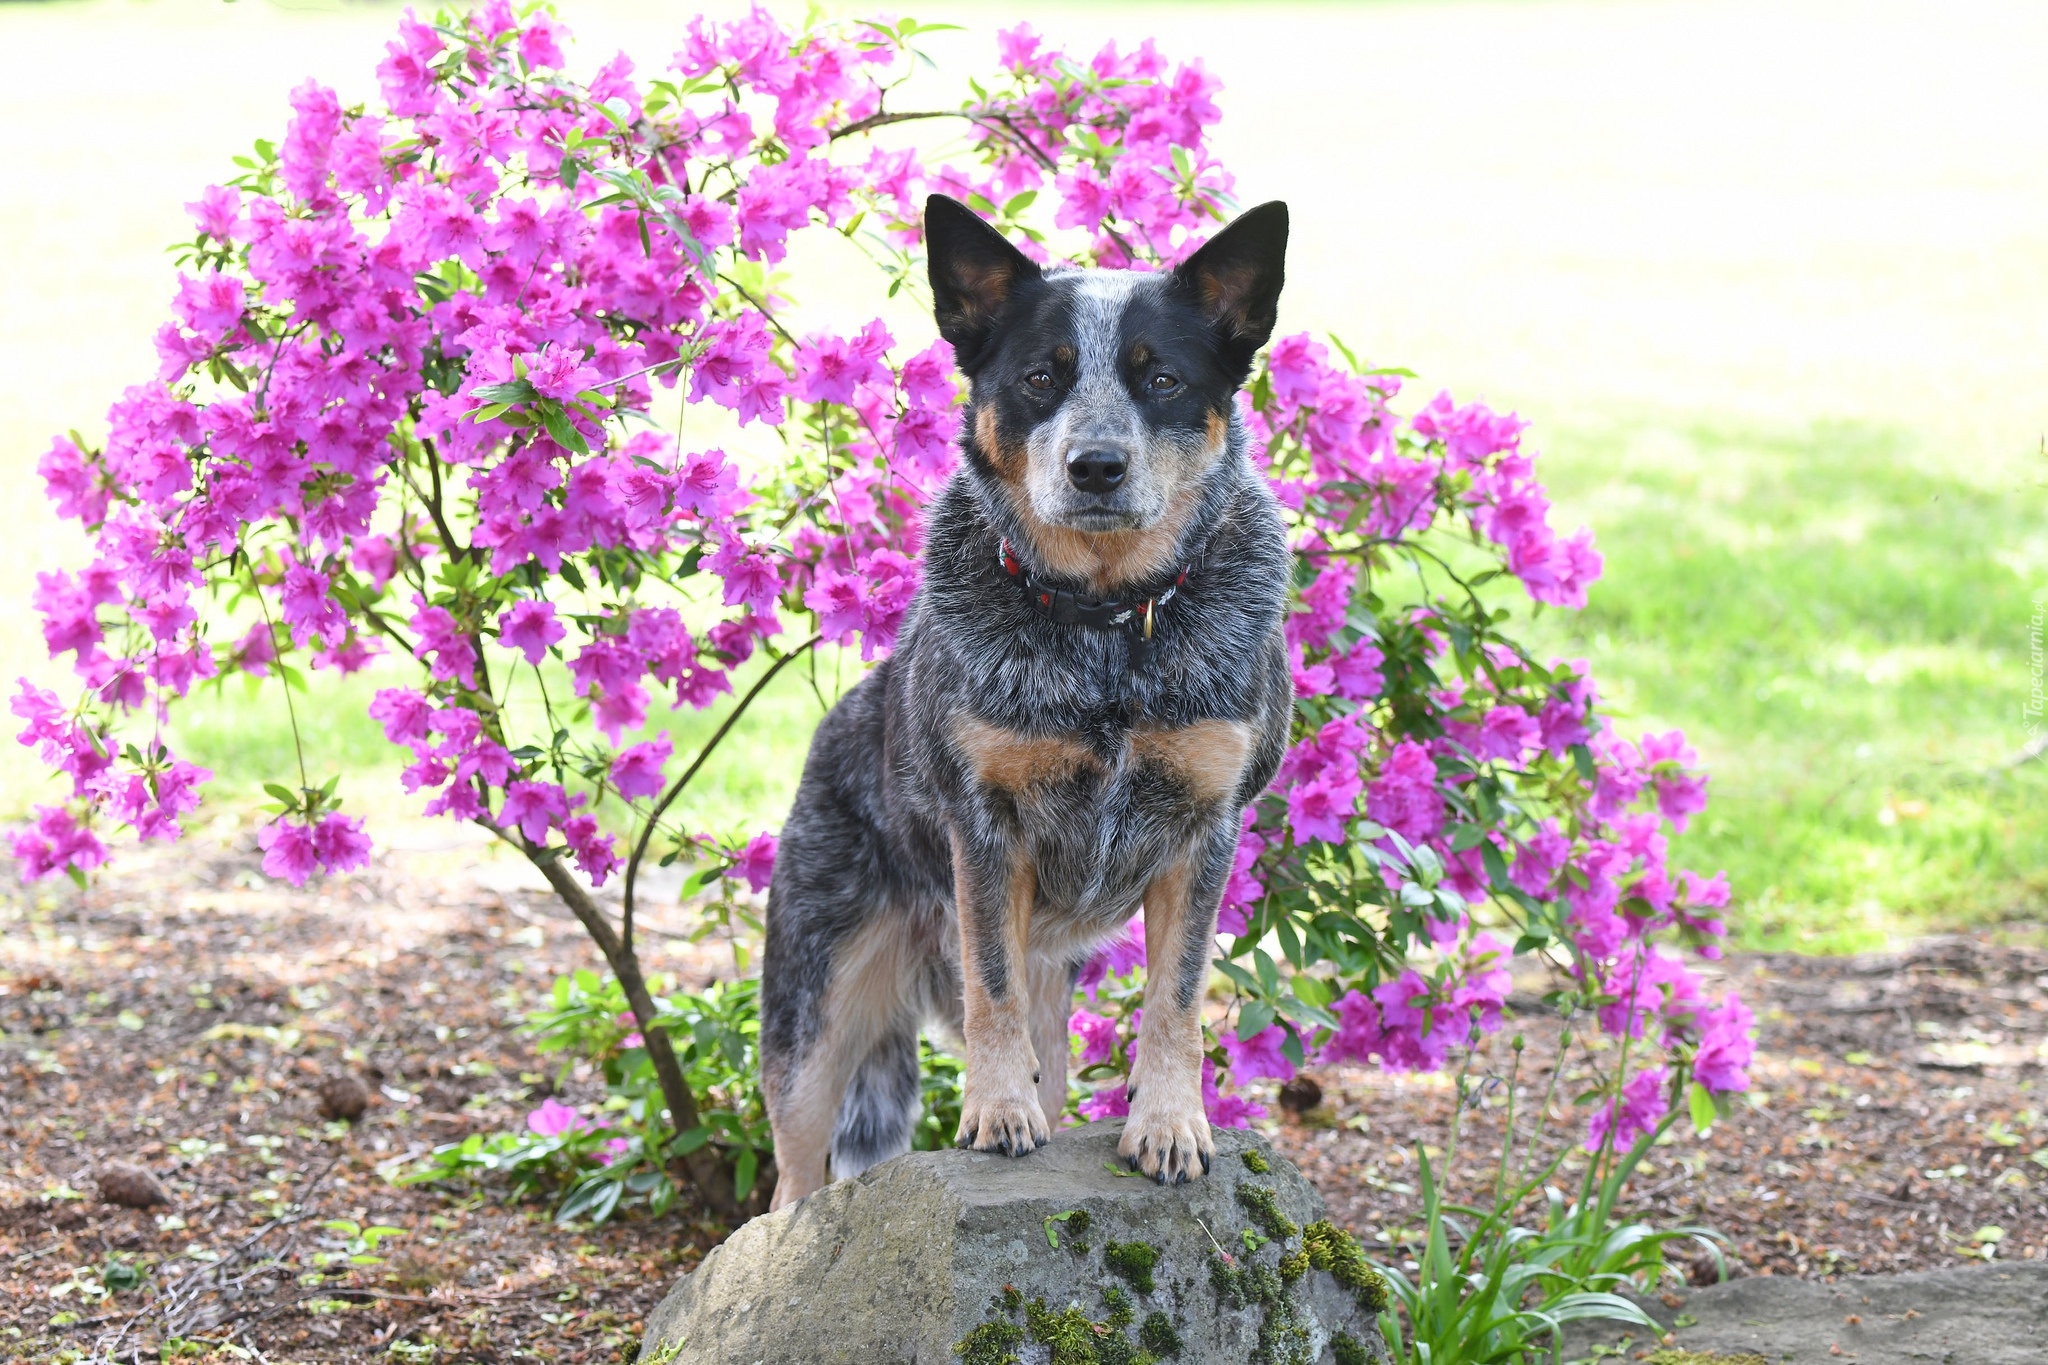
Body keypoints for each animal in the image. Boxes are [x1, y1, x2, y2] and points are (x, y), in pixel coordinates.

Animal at [753, 192, 1294, 1203]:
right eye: (1043, 376)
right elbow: (991, 988)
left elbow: (1176, 998)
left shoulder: (1205, 828)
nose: (1097, 464)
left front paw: (1169, 1124)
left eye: (1161, 380)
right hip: (817, 1001)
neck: (1107, 625)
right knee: (796, 1168)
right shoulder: (985, 826)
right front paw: (997, 1111)